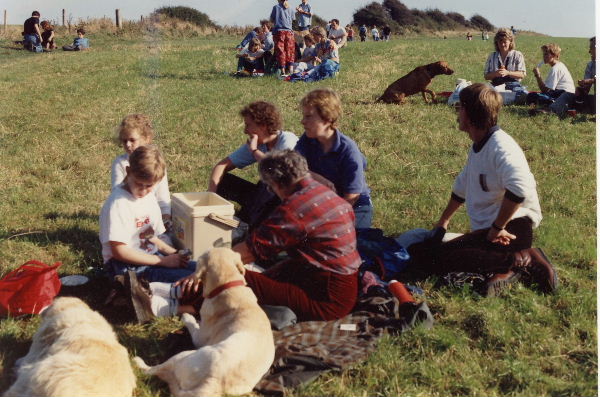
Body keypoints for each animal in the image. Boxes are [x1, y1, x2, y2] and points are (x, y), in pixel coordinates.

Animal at [134, 248, 274, 396]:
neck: (228, 286)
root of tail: (213, 384)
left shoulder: (198, 339)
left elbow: (192, 324)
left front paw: (187, 316)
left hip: (182, 356)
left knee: (154, 370)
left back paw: (139, 362)